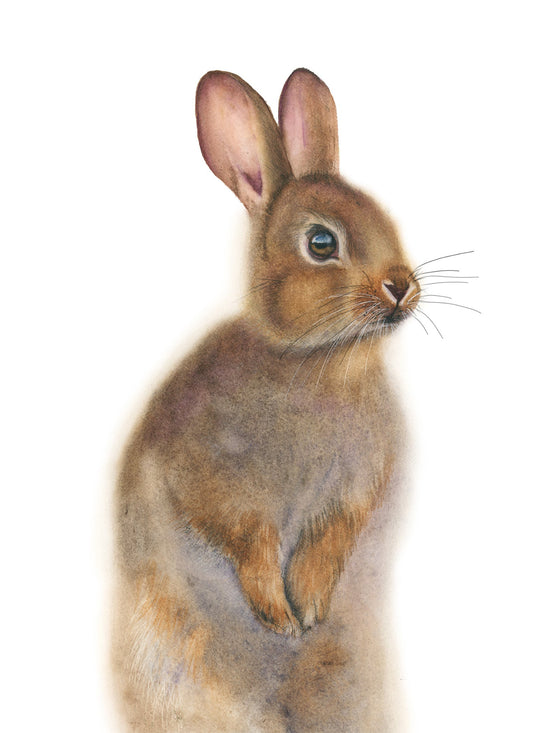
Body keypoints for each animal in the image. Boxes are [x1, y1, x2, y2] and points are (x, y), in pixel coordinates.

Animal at [112, 68, 421, 733]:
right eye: (322, 242)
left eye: (383, 215)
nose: (402, 286)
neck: (319, 363)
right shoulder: (213, 481)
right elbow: (249, 541)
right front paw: (280, 618)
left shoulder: (349, 496)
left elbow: (326, 544)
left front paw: (309, 609)